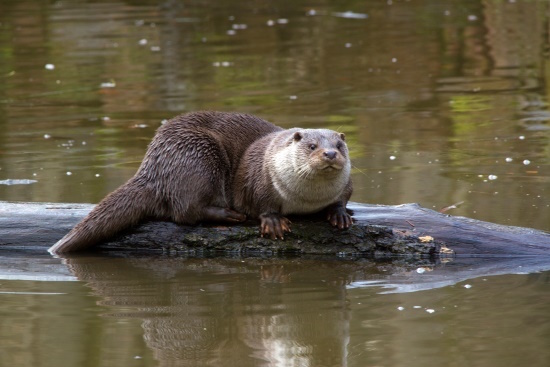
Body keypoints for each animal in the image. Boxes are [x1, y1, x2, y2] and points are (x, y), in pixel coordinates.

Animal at [50, 112, 354, 254]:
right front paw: (273, 221)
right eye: (312, 146)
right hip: (198, 157)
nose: (329, 154)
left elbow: (344, 196)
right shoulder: (258, 178)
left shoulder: (347, 183)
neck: (306, 200)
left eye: (339, 145)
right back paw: (228, 215)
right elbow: (261, 203)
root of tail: (152, 167)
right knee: (185, 212)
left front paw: (339, 213)